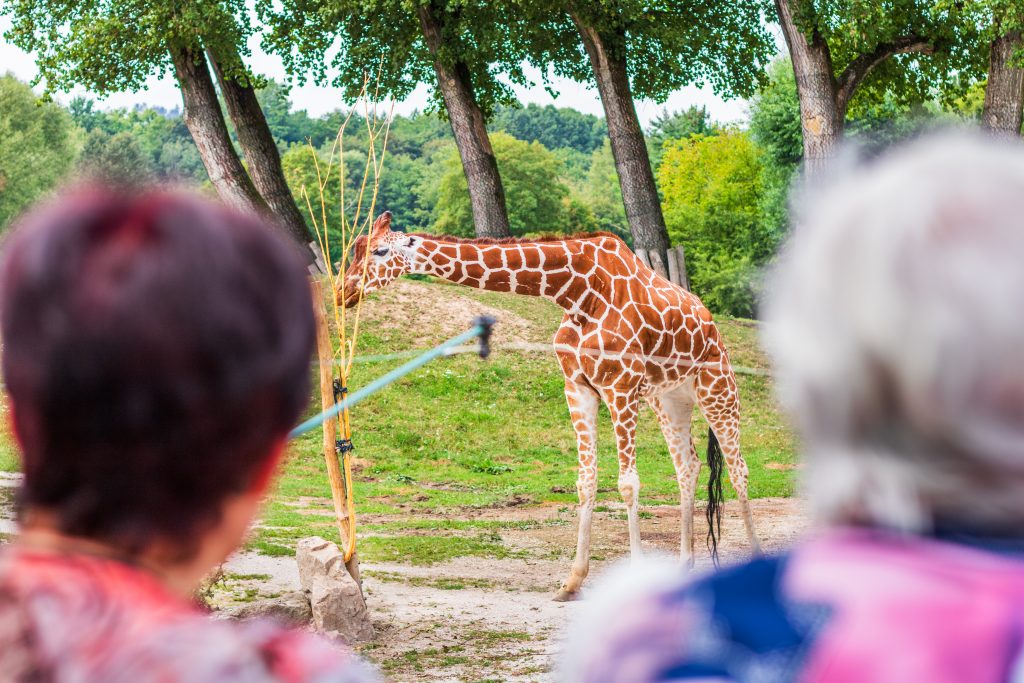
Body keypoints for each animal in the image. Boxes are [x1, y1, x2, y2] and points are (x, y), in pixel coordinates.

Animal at [342, 211, 761, 598]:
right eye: (354, 250)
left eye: (379, 251)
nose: (343, 292)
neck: (577, 292)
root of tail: (711, 323)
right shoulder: (578, 387)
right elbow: (586, 481)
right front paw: (572, 581)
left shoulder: (621, 386)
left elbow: (628, 483)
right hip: (669, 399)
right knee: (688, 466)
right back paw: (685, 566)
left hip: (718, 387)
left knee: (738, 469)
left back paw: (756, 559)